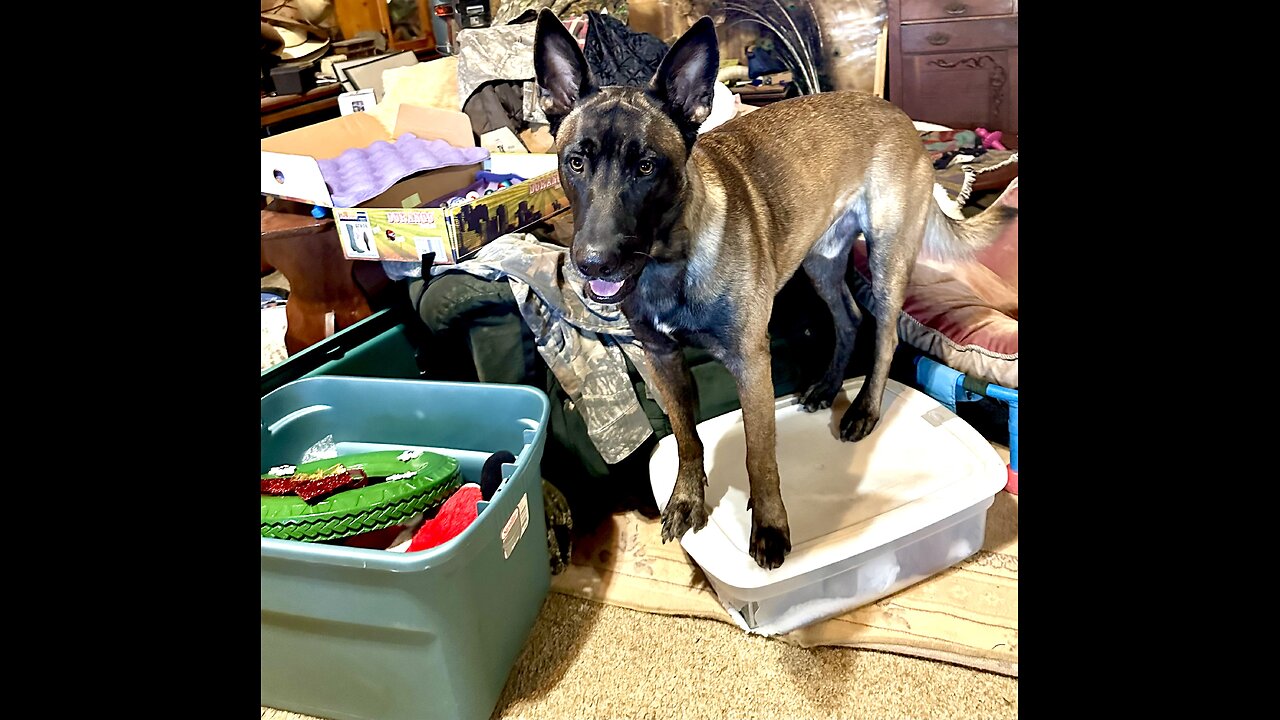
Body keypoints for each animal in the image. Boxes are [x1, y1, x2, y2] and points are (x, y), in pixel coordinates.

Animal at [535, 7, 1013, 566]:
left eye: (647, 166)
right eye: (576, 161)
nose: (593, 263)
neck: (670, 261)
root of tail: (896, 113)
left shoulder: (750, 364)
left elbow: (759, 454)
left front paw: (769, 528)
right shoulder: (662, 360)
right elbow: (686, 438)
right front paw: (686, 499)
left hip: (887, 258)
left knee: (885, 333)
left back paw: (863, 410)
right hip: (822, 264)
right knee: (849, 319)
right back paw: (827, 386)